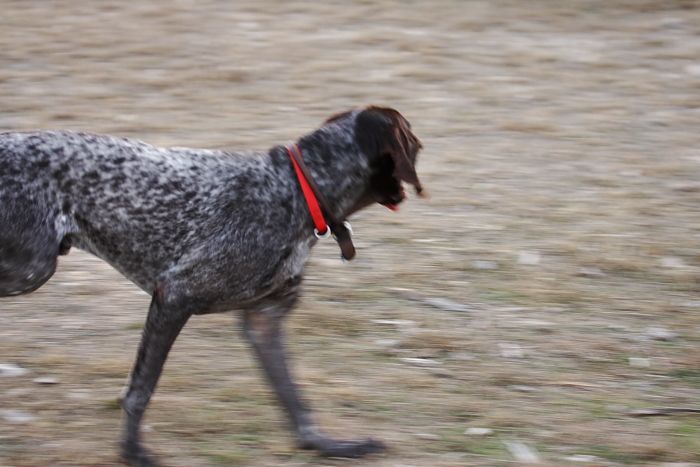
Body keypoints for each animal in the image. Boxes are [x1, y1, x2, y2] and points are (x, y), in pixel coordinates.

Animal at [0, 108, 424, 466]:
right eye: (414, 144)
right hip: (33, 268)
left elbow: (296, 404)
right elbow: (140, 391)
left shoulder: (264, 322)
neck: (297, 189)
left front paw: (328, 446)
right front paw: (132, 453)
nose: (423, 154)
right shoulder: (174, 296)